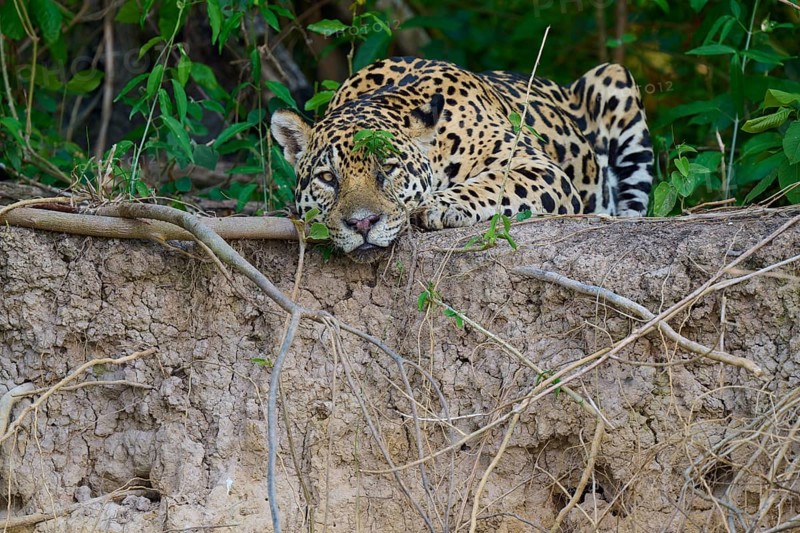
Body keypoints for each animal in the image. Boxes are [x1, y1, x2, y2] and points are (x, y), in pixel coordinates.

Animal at [271, 56, 653, 262]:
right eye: (327, 178)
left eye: (389, 169)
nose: (363, 224)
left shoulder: (538, 167)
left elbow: (497, 183)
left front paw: (437, 206)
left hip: (613, 78)